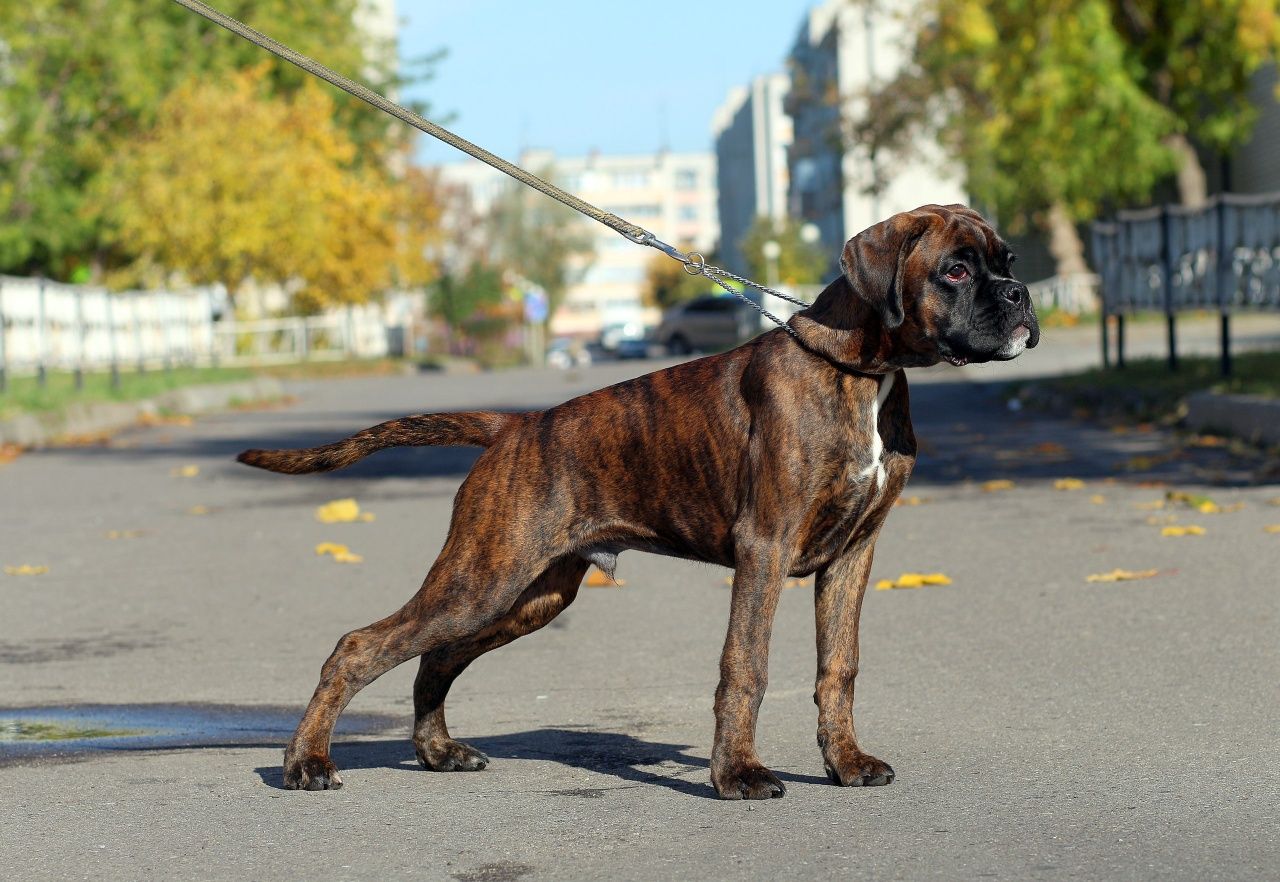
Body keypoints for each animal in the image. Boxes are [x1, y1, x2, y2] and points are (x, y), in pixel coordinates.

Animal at [240, 204, 1039, 798]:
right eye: (955, 268)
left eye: (1008, 261)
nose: (1019, 295)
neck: (860, 372)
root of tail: (516, 426)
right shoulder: (766, 548)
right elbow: (745, 665)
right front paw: (738, 774)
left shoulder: (853, 556)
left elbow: (837, 667)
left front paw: (845, 764)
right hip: (482, 578)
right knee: (361, 646)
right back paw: (306, 764)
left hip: (531, 594)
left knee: (436, 658)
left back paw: (439, 752)